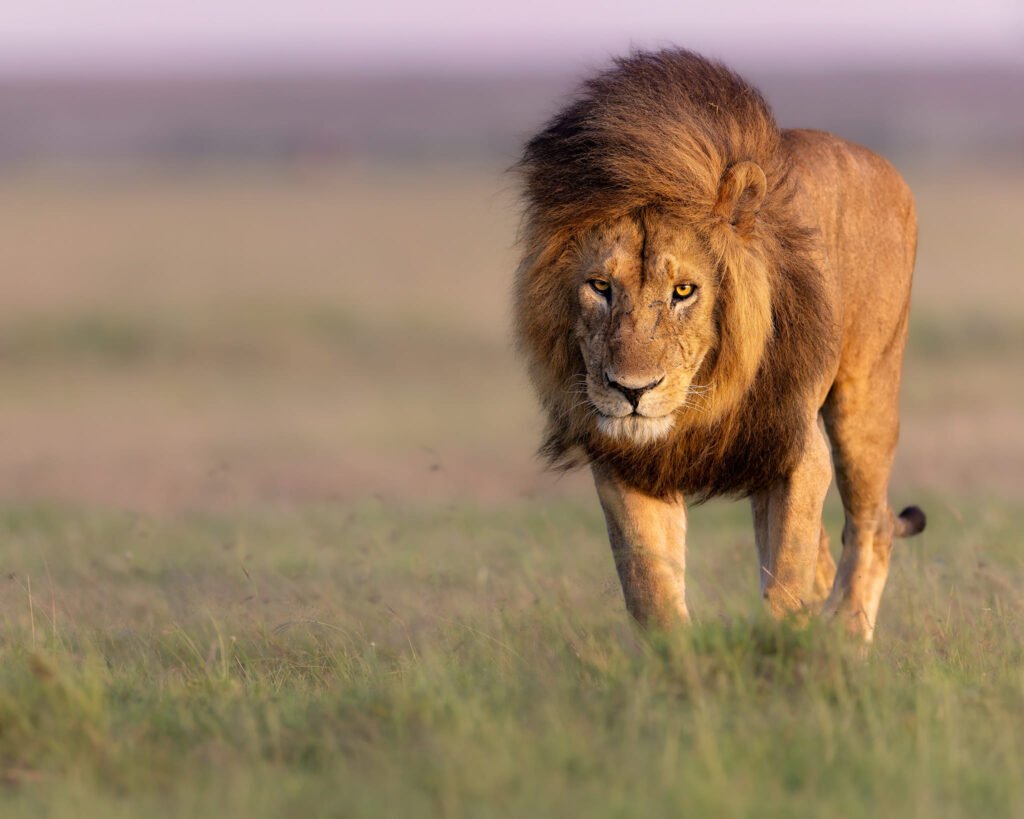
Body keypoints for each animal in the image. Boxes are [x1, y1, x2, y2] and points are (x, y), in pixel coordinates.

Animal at [513, 49, 925, 641]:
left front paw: (782, 647)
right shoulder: (628, 466)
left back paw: (847, 638)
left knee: (871, 527)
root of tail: (878, 162)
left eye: (684, 291)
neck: (703, 402)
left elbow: (786, 577)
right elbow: (651, 587)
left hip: (866, 394)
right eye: (600, 287)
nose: (631, 390)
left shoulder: (796, 453)